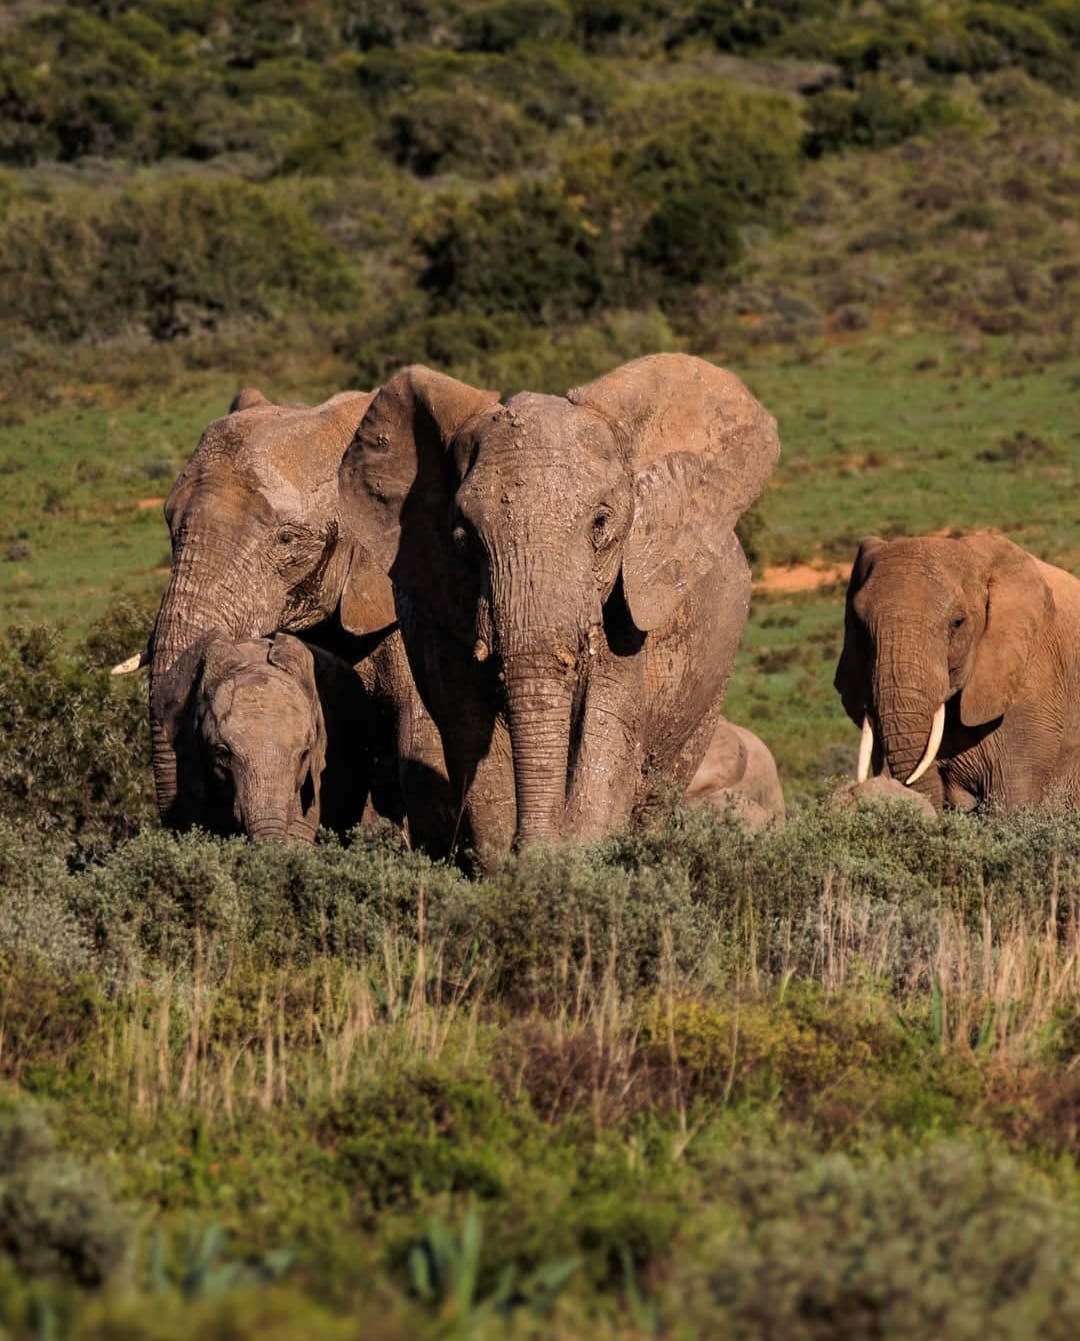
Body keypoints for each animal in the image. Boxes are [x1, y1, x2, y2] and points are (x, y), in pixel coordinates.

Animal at [337, 354, 780, 859]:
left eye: (601, 523)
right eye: (464, 536)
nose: (533, 848)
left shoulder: (630, 610)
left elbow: (607, 733)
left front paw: (568, 863)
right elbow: (471, 729)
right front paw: (518, 867)